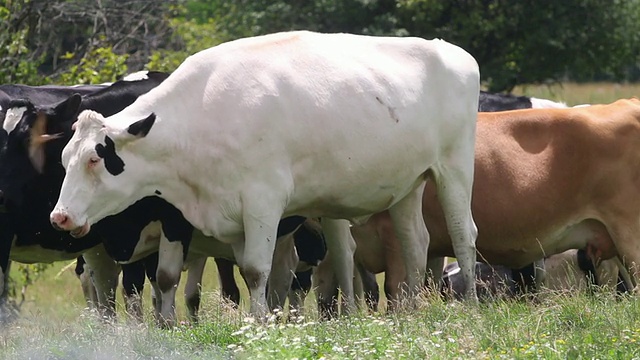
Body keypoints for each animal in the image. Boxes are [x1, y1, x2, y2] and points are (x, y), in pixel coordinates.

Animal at [50, 31, 480, 316]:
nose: (60, 216)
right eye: (65, 158)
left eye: (94, 159)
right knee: (415, 244)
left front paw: (257, 327)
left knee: (463, 236)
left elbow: (258, 272)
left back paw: (472, 306)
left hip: (455, 167)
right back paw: (413, 314)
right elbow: (254, 274)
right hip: (407, 184)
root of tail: (448, 48)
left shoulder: (263, 202)